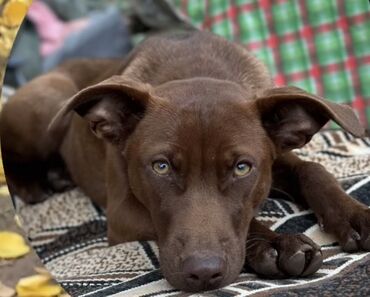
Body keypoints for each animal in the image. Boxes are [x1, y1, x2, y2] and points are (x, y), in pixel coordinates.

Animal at [0, 30, 370, 292]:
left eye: (242, 168)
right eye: (160, 166)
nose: (203, 274)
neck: (197, 67)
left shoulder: (274, 158)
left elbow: (313, 169)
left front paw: (354, 215)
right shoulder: (123, 212)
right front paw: (276, 244)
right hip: (48, 106)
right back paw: (33, 184)